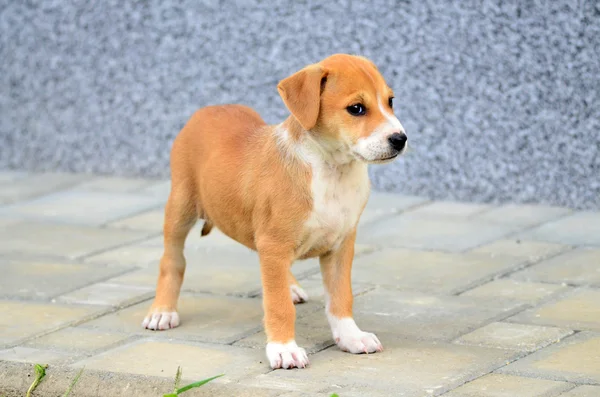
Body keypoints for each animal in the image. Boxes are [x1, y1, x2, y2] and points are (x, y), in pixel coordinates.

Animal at [143, 53, 410, 368]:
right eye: (356, 108)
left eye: (390, 101)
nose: (400, 138)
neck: (331, 170)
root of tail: (208, 109)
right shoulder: (274, 243)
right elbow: (278, 304)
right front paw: (283, 349)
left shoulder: (341, 245)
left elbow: (341, 296)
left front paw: (351, 336)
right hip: (180, 208)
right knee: (172, 260)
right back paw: (162, 310)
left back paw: (291, 286)